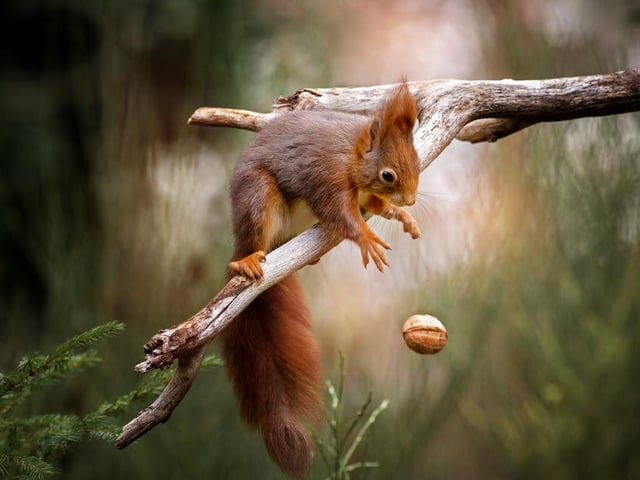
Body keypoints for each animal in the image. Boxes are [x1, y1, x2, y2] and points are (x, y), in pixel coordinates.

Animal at [220, 82, 421, 479]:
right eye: (388, 175)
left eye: (418, 161)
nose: (410, 198)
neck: (353, 154)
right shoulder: (324, 174)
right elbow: (340, 213)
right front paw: (366, 237)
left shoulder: (363, 193)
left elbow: (372, 206)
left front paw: (399, 214)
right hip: (258, 197)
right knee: (252, 240)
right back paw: (246, 261)